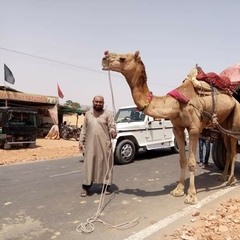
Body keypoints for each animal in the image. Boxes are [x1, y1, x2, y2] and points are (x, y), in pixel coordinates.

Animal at [101, 50, 240, 204]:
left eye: (123, 58)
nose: (104, 58)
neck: (176, 103)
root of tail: (233, 98)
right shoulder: (177, 128)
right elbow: (182, 160)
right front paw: (178, 190)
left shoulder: (194, 129)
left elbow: (191, 162)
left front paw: (191, 196)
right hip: (224, 124)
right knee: (228, 149)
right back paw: (223, 177)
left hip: (235, 118)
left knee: (233, 151)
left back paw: (231, 181)